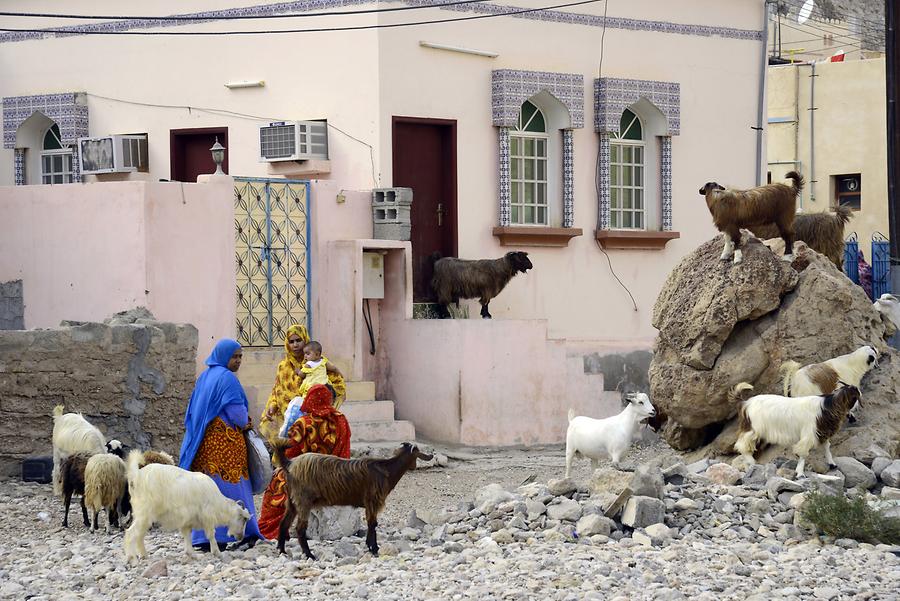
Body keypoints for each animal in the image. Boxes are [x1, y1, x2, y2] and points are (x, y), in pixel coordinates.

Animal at [274, 438, 432, 560]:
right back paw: (309, 555)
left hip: (292, 501)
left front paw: (370, 546)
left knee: (283, 523)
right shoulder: (372, 501)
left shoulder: (369, 504)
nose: (430, 455)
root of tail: (289, 463)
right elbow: (373, 523)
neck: (386, 470)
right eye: (417, 451)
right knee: (300, 529)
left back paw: (282, 551)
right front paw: (374, 548)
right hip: (303, 501)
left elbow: (371, 524)